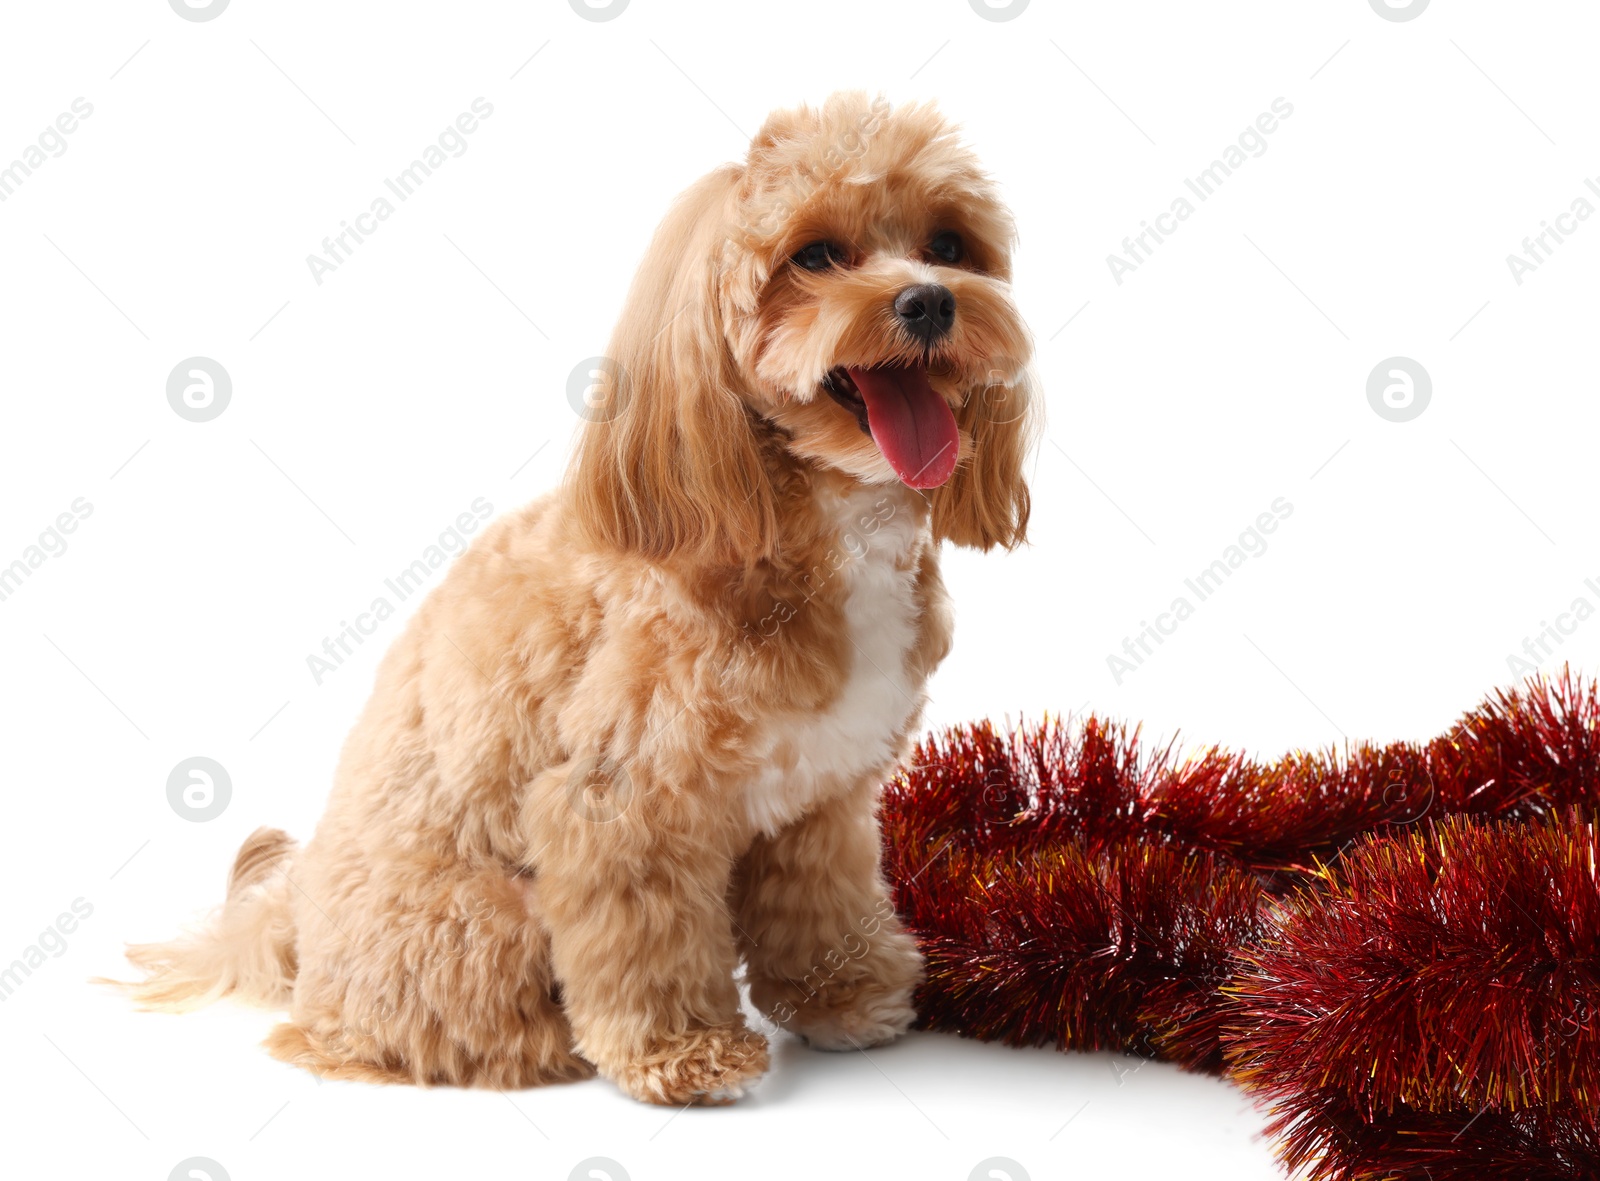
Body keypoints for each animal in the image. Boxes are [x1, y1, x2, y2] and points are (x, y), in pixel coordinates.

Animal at [124, 92, 1036, 1100]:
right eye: (816, 255)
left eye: (949, 244)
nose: (929, 299)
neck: (808, 520)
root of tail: (297, 919)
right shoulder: (620, 800)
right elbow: (646, 937)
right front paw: (683, 1050)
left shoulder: (824, 798)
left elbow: (821, 901)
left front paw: (844, 995)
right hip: (482, 918)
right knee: (423, 1027)